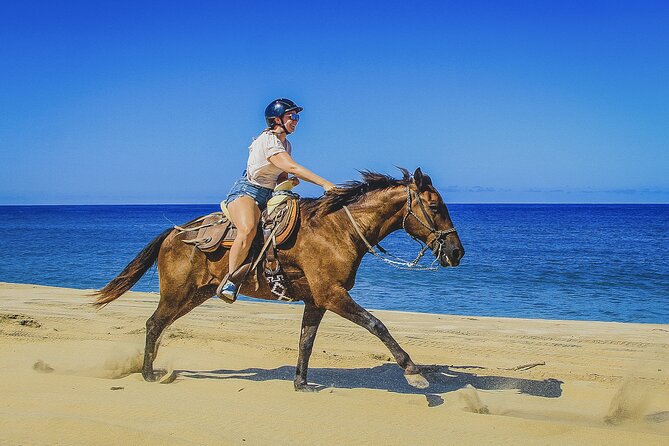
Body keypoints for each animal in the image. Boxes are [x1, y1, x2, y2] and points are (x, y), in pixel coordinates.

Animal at [93, 167, 464, 391]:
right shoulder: (332, 295)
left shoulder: (317, 300)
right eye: (435, 207)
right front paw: (413, 372)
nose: (457, 252)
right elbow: (377, 325)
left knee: (160, 326)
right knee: (154, 324)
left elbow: (305, 342)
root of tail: (174, 233)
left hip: (195, 295)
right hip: (177, 293)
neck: (337, 229)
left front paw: (301, 383)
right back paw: (147, 373)